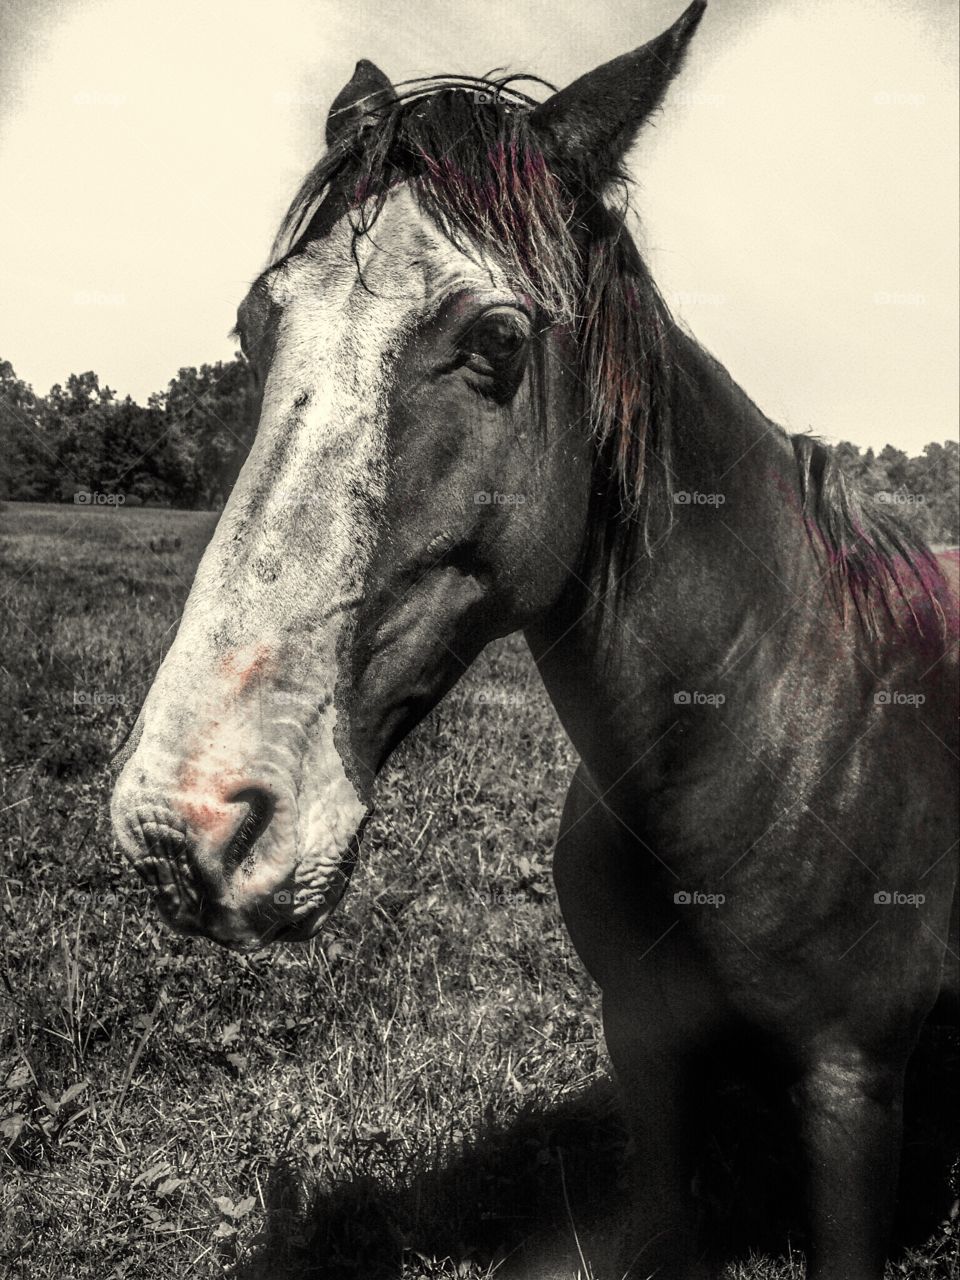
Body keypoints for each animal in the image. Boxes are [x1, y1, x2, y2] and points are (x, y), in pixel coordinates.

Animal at [110, 4, 959, 1275]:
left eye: (499, 340)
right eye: (257, 325)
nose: (183, 824)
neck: (760, 735)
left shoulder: (853, 1084)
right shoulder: (645, 1045)